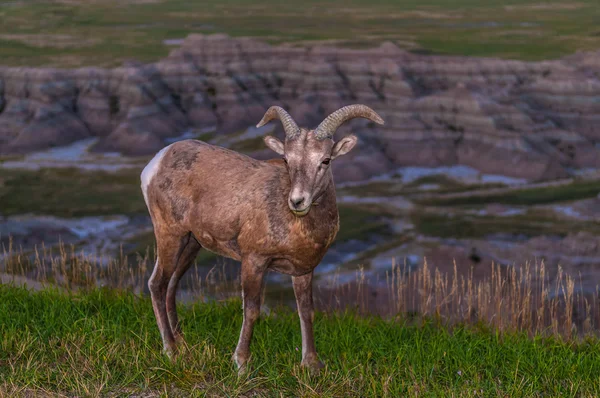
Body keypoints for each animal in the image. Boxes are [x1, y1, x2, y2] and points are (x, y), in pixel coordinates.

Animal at [141, 103, 384, 370]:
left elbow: (306, 311)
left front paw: (311, 365)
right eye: (286, 159)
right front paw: (241, 364)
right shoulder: (254, 261)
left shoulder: (303, 270)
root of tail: (157, 162)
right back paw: (171, 351)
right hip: (170, 235)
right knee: (157, 284)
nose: (297, 201)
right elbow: (252, 310)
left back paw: (183, 346)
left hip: (191, 244)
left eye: (326, 160)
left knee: (172, 285)